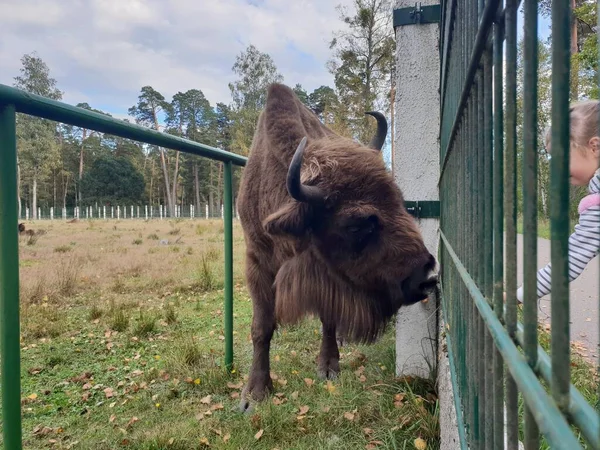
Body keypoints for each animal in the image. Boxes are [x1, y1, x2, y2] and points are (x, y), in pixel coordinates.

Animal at [237, 82, 438, 410]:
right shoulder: (256, 262)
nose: (426, 275)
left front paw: (329, 367)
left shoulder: (329, 280)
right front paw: (253, 395)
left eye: (399, 201)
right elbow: (261, 328)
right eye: (356, 224)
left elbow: (328, 318)